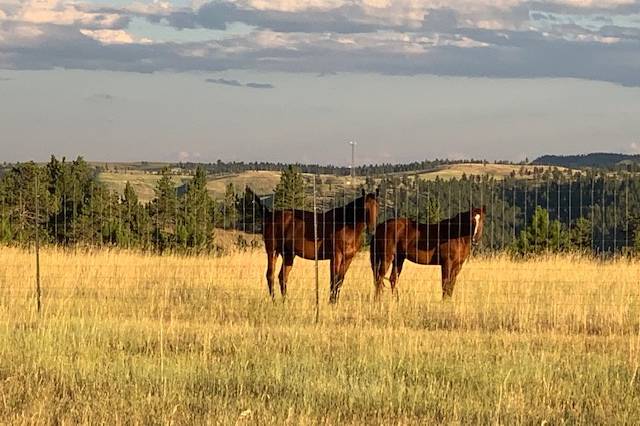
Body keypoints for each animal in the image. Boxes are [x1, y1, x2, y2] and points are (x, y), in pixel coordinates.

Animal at [249, 186, 380, 302]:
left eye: (378, 206)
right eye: (364, 207)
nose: (372, 230)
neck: (345, 225)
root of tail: (269, 215)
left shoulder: (348, 259)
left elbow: (340, 281)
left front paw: (335, 302)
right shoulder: (336, 257)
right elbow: (333, 280)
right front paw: (331, 303)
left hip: (288, 255)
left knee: (282, 277)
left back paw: (285, 301)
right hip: (272, 251)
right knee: (270, 275)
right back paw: (274, 301)